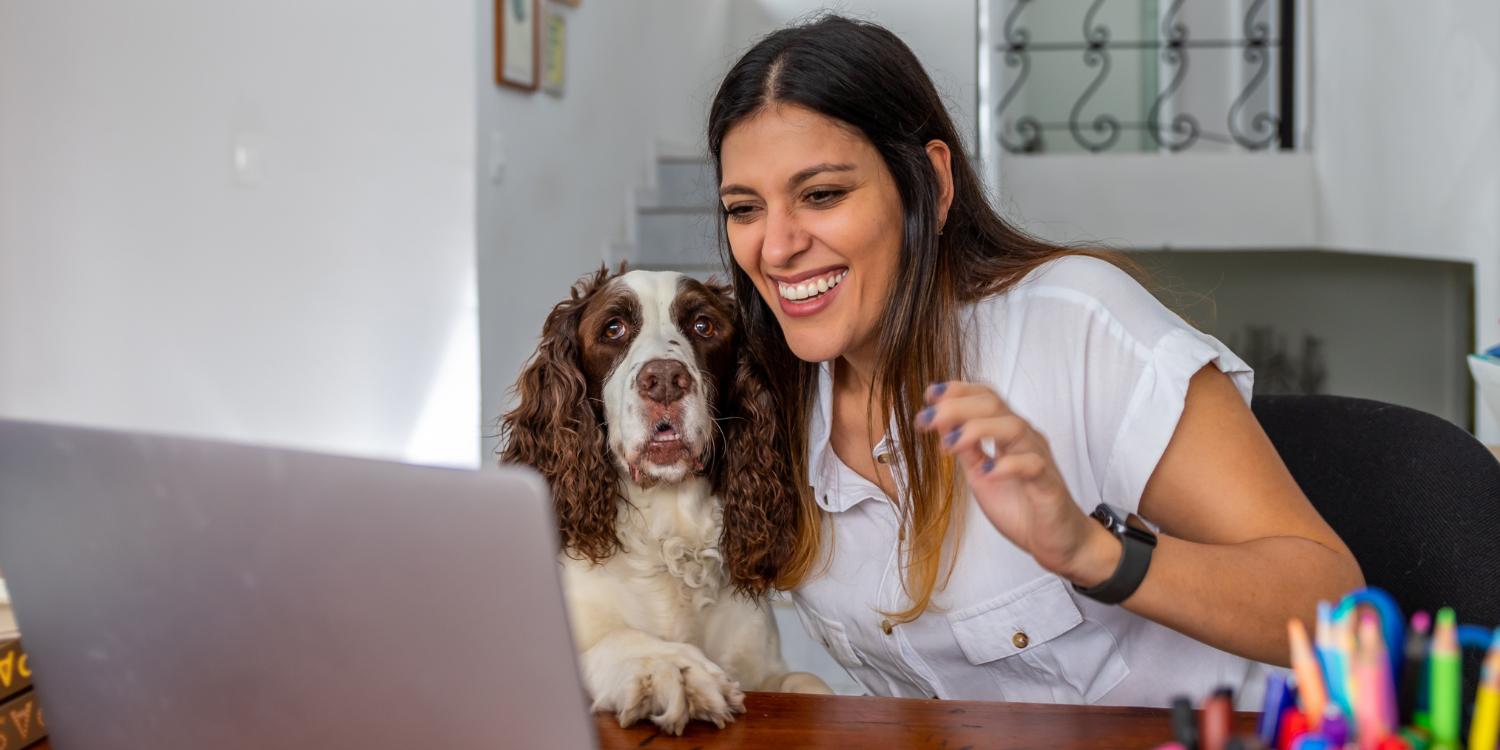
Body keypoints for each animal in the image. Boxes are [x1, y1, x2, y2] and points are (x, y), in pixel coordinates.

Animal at [501, 267, 834, 735]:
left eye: (703, 325)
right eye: (614, 328)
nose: (663, 380)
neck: (668, 530)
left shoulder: (763, 666)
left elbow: (808, 682)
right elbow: (616, 640)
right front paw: (669, 667)